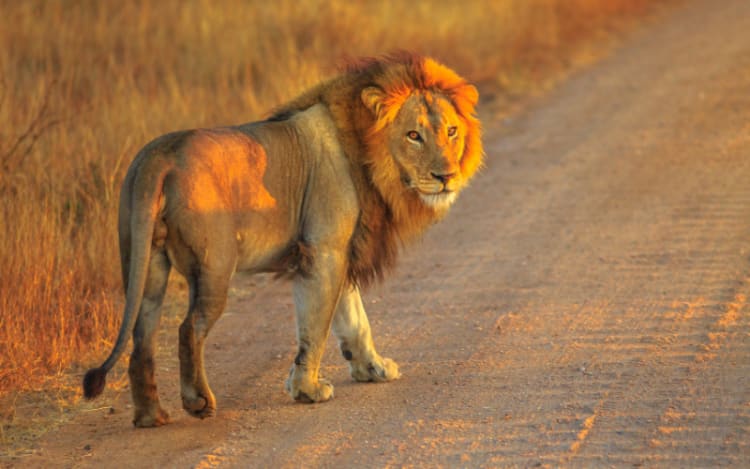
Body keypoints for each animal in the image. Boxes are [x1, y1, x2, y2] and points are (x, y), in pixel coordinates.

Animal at [82, 53, 483, 427]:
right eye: (413, 135)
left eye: (451, 131)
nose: (446, 176)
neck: (368, 154)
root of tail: (160, 156)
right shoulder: (323, 251)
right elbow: (316, 326)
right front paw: (308, 390)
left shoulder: (341, 250)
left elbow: (354, 319)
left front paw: (373, 368)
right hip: (214, 267)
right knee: (188, 329)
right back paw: (198, 402)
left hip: (146, 264)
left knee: (142, 338)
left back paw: (151, 415)